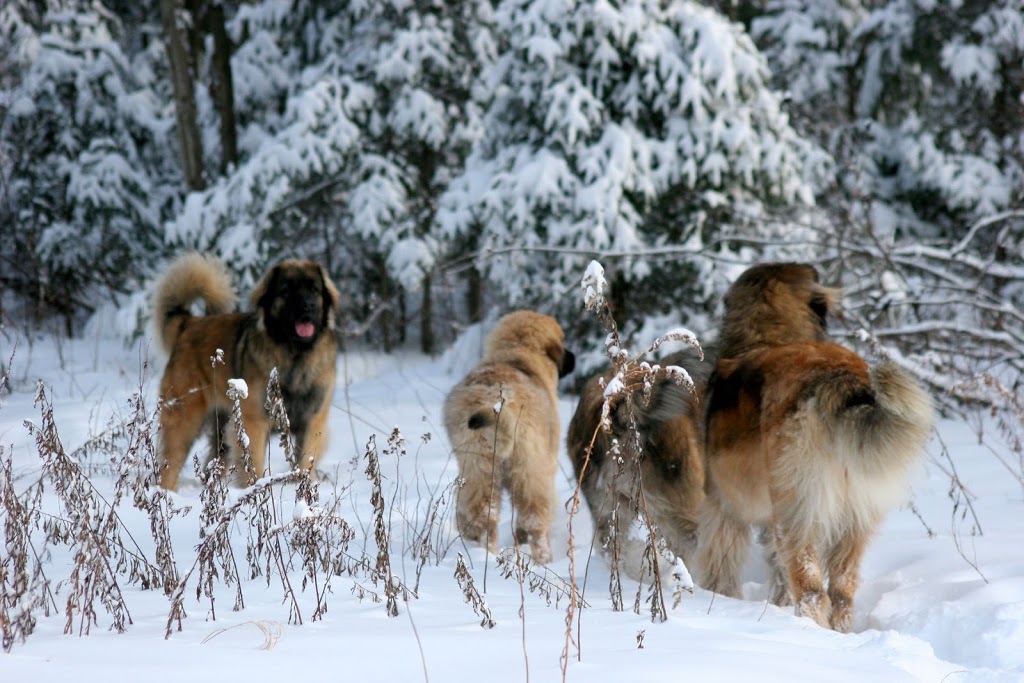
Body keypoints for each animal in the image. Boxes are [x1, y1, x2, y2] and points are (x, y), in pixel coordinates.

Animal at [152, 250, 339, 491]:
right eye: (286, 291)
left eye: (314, 289)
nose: (307, 306)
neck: (295, 355)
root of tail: (189, 322)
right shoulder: (255, 421)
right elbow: (254, 463)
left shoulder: (313, 420)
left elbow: (306, 460)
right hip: (185, 418)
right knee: (170, 462)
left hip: (221, 425)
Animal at [444, 313, 577, 565]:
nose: (573, 357)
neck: (516, 356)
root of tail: (499, 402)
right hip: (529, 471)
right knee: (534, 519)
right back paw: (543, 560)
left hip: (478, 467)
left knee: (483, 515)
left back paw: (485, 553)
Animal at [700, 262, 933, 630]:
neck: (771, 336)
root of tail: (838, 378)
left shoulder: (723, 504)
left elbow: (721, 563)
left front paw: (719, 599)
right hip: (852, 516)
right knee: (841, 591)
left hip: (798, 511)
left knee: (811, 590)